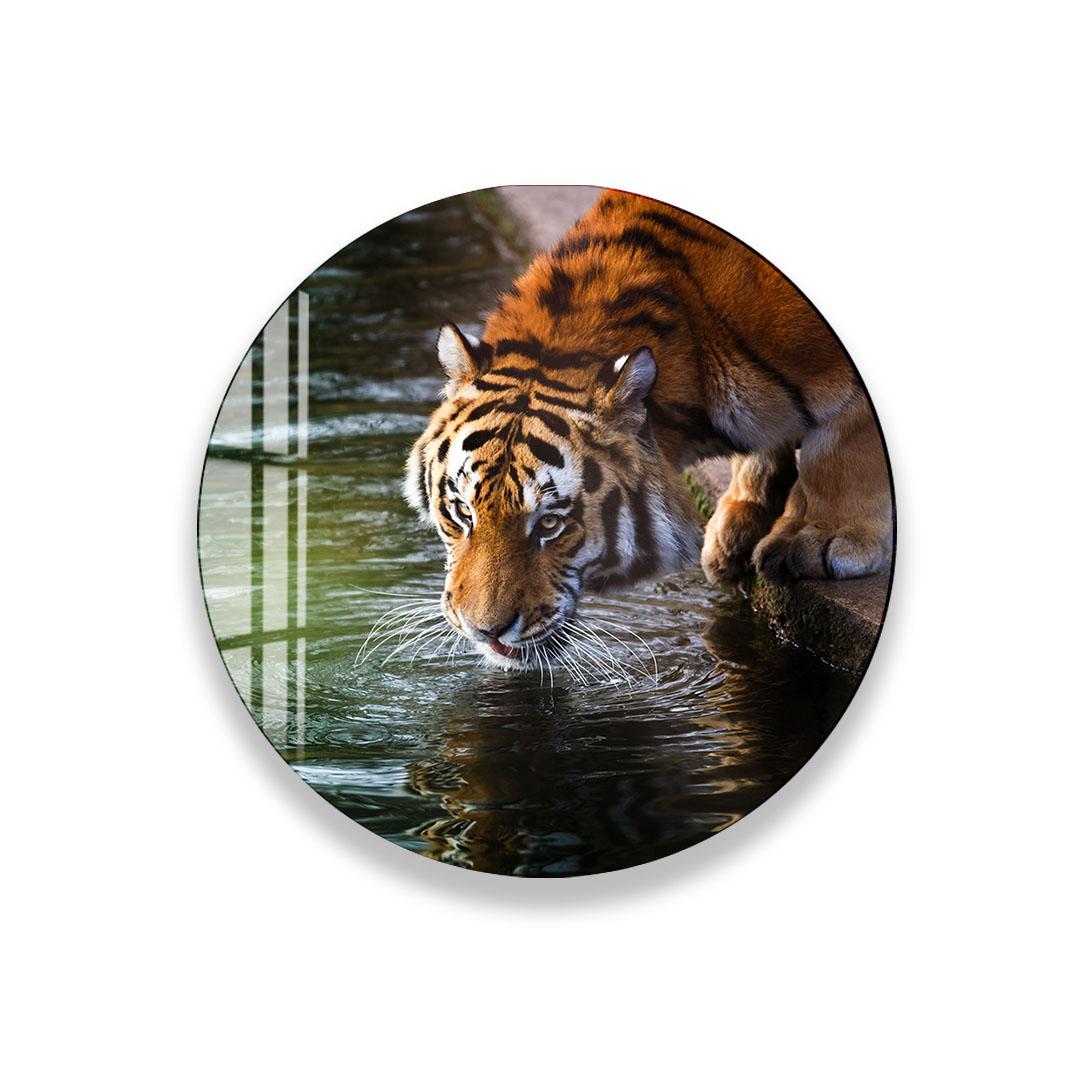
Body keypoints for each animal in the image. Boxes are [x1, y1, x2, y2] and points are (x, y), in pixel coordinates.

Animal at [404, 190, 893, 670]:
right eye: (462, 512)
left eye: (549, 524)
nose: (484, 630)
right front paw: (738, 525)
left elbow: (842, 446)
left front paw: (820, 538)